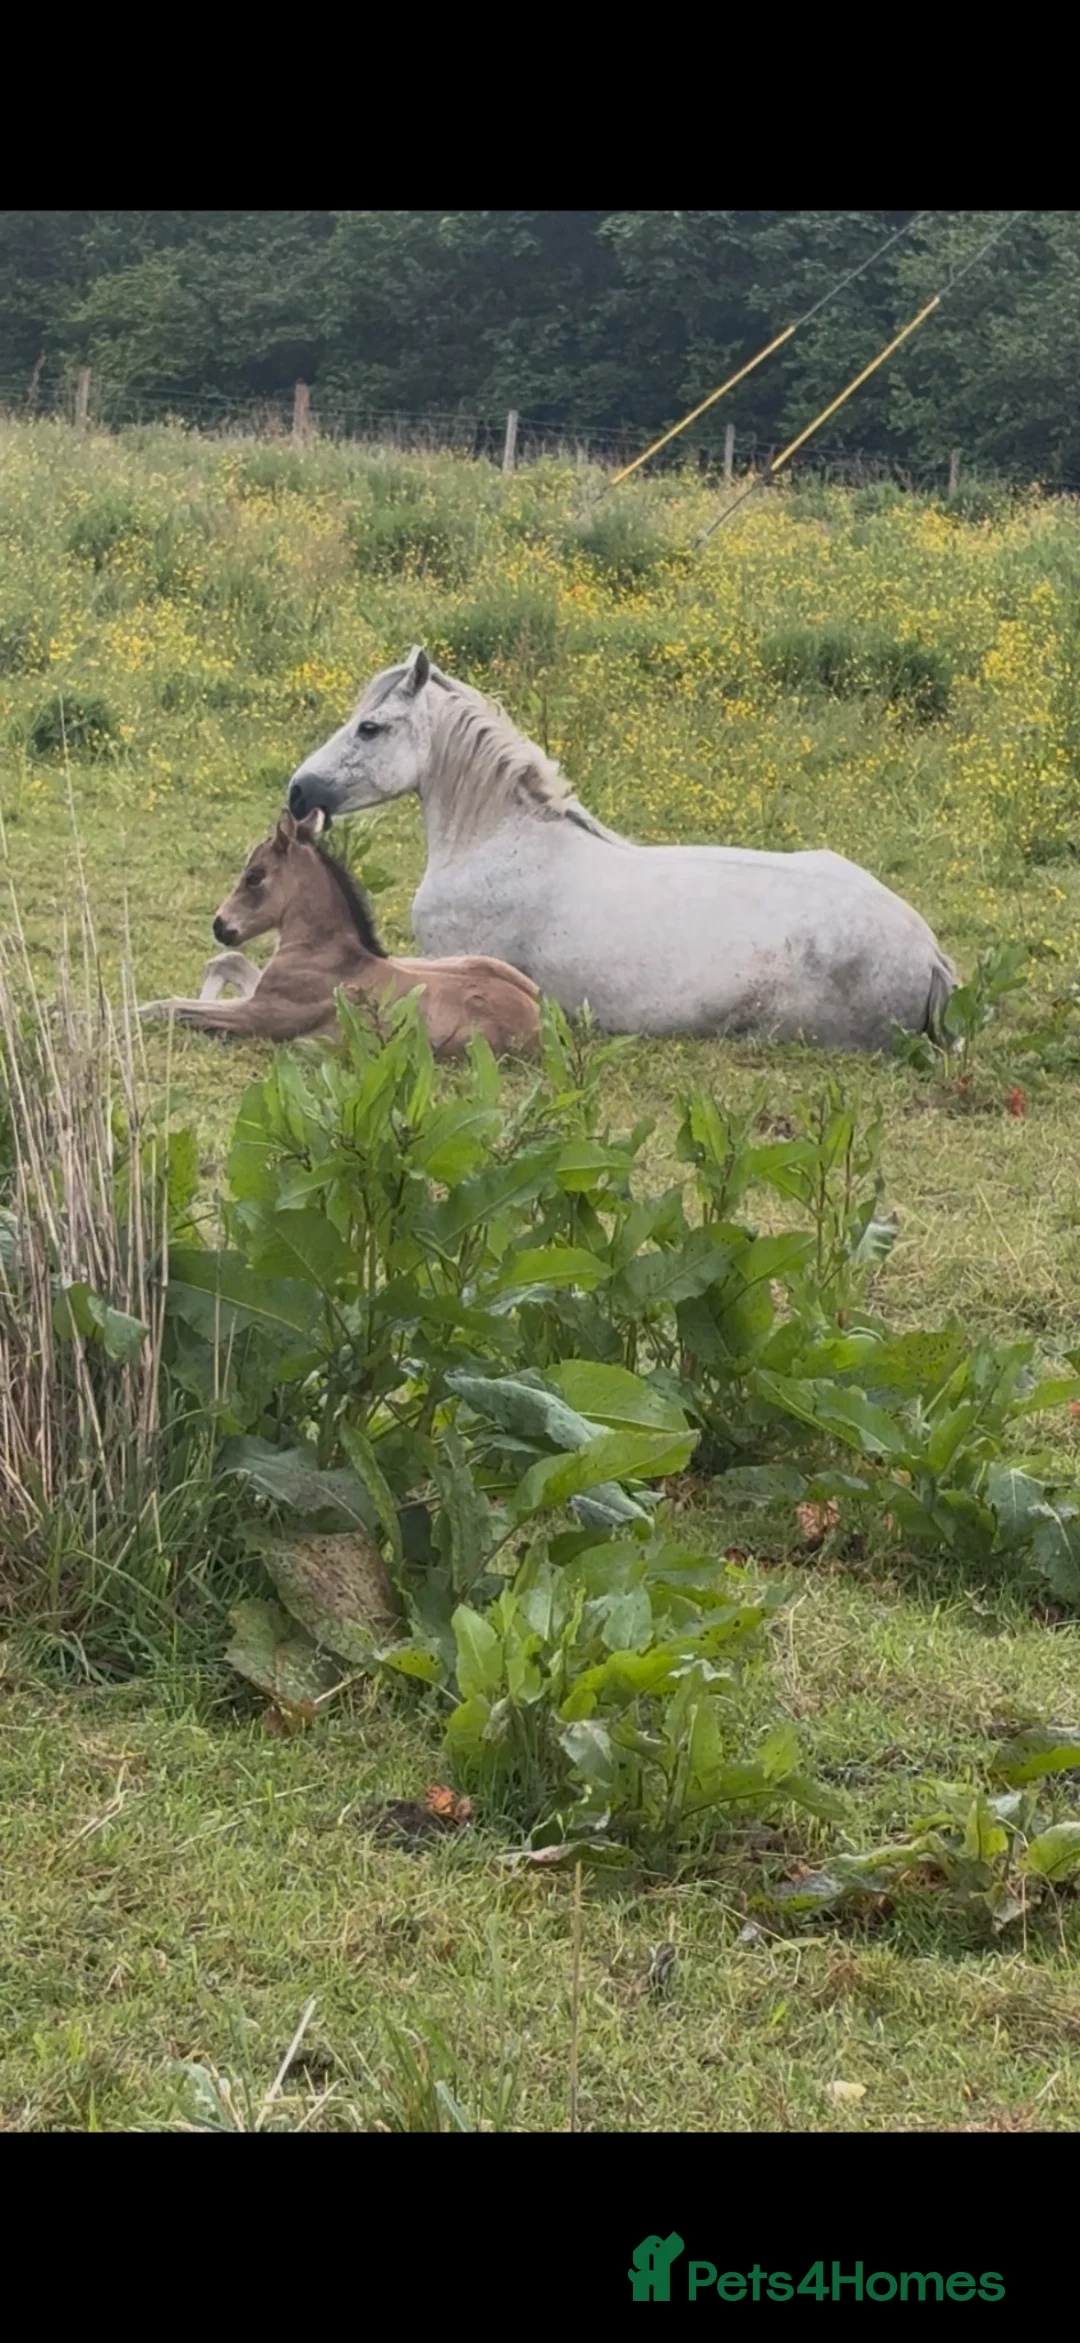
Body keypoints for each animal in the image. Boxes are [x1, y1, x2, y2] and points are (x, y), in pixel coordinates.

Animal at [138, 808, 541, 1057]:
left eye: (254, 877)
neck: (322, 951)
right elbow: (227, 961)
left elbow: (174, 1007)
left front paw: (134, 1012)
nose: (220, 925)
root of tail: (545, 1018)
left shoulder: (261, 1015)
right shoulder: (260, 991)